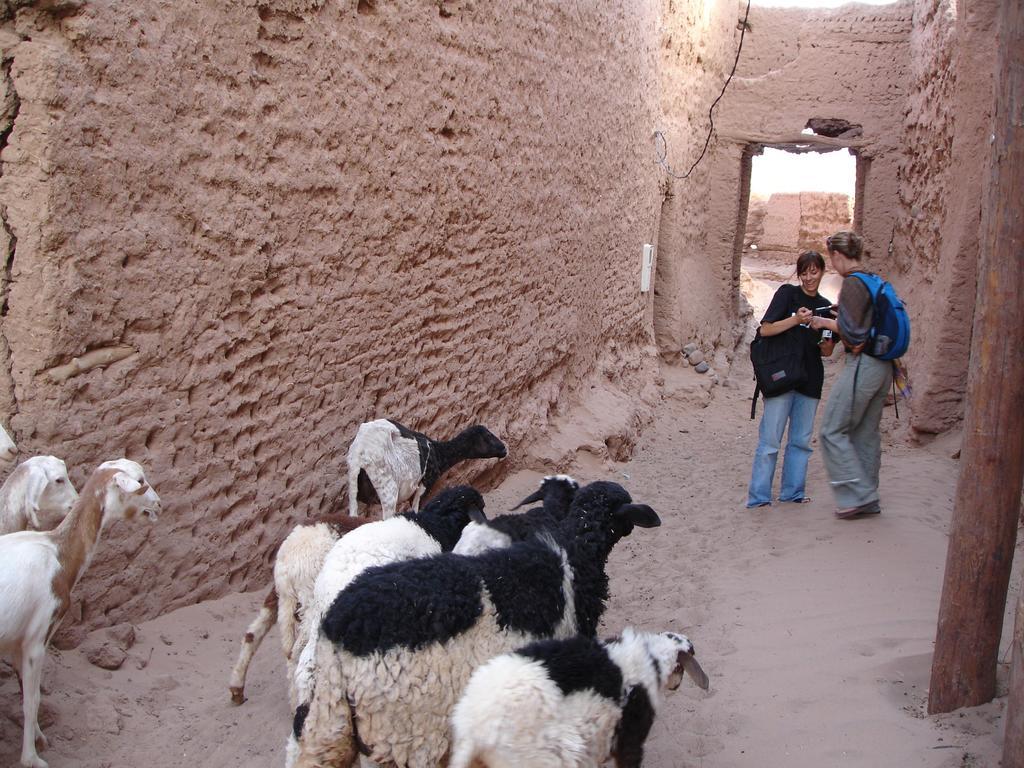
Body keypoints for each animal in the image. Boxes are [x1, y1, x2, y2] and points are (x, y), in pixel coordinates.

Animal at [0, 460, 159, 765]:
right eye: (140, 481)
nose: (158, 504)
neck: (58, 552)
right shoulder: (36, 637)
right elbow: (31, 700)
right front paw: (31, 758)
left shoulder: (15, 643)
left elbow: (24, 690)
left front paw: (38, 737)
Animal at [228, 514, 372, 708]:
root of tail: (289, 559)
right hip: (311, 601)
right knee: (296, 652)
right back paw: (297, 703)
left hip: (281, 595)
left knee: (254, 633)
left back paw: (237, 687)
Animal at [346, 417, 505, 520]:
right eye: (488, 435)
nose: (504, 448)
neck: (438, 453)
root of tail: (362, 451)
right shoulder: (423, 487)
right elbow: (416, 512)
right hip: (387, 490)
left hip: (354, 486)